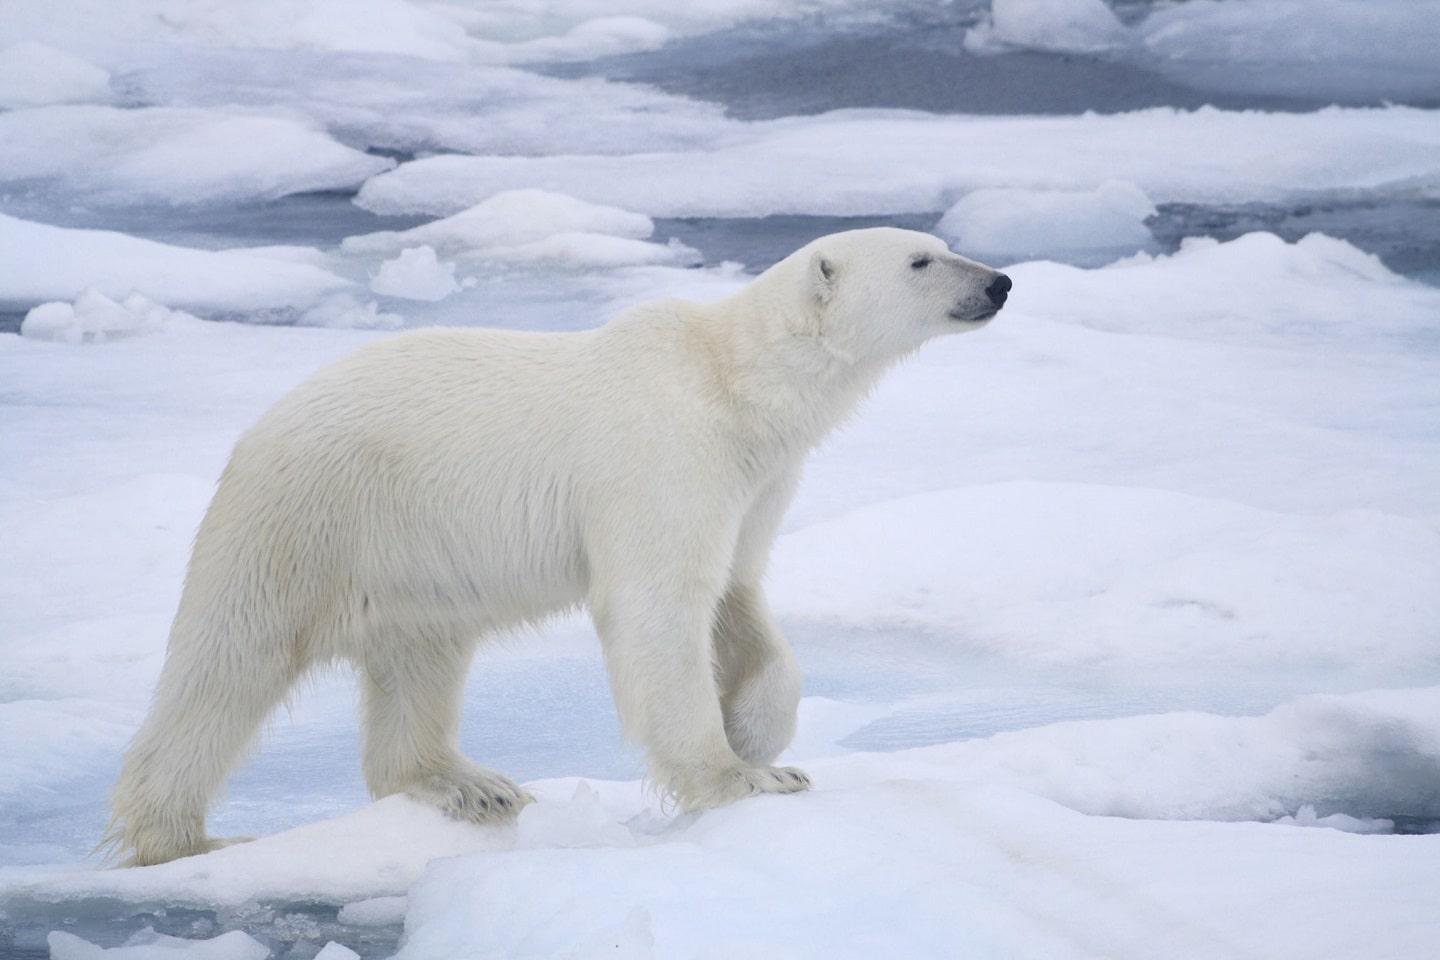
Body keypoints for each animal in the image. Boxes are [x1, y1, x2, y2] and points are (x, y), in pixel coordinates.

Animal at [107, 227, 1010, 866]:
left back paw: (467, 784)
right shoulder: (662, 450)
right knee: (229, 662)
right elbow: (659, 604)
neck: (733, 380)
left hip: (411, 556)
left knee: (420, 659)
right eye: (923, 259)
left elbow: (737, 594)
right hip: (307, 518)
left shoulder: (755, 478)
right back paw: (183, 837)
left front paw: (757, 732)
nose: (1000, 281)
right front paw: (742, 777)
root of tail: (258, 429)